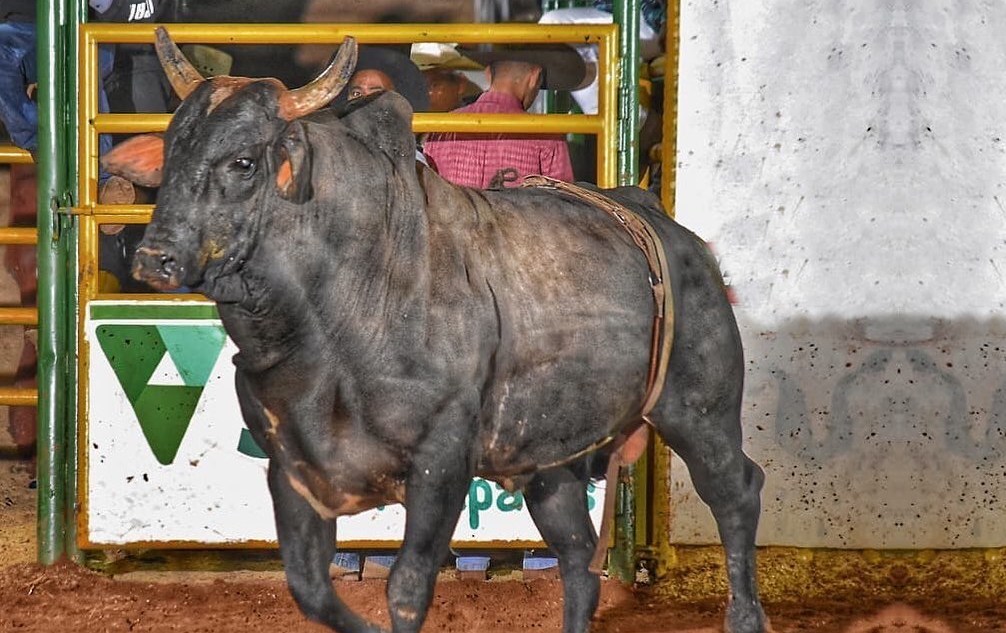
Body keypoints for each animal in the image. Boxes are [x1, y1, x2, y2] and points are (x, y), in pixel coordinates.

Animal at [106, 27, 760, 631]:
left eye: (242, 162)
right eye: (172, 153)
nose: (155, 258)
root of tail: (673, 231)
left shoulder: (441, 462)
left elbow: (407, 587)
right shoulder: (291, 466)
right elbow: (311, 589)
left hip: (699, 412)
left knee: (737, 490)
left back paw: (746, 614)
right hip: (551, 459)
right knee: (578, 556)